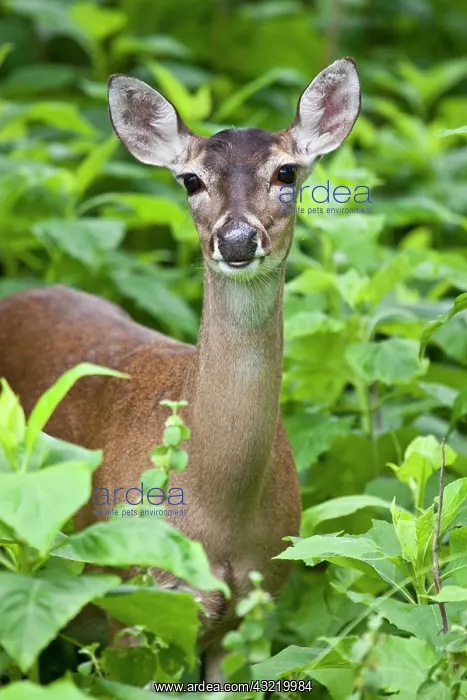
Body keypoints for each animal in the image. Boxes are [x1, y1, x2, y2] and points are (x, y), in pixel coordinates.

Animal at [0, 58, 360, 682]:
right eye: (190, 179)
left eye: (287, 171)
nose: (236, 239)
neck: (220, 514)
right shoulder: (136, 601)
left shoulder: (254, 608)